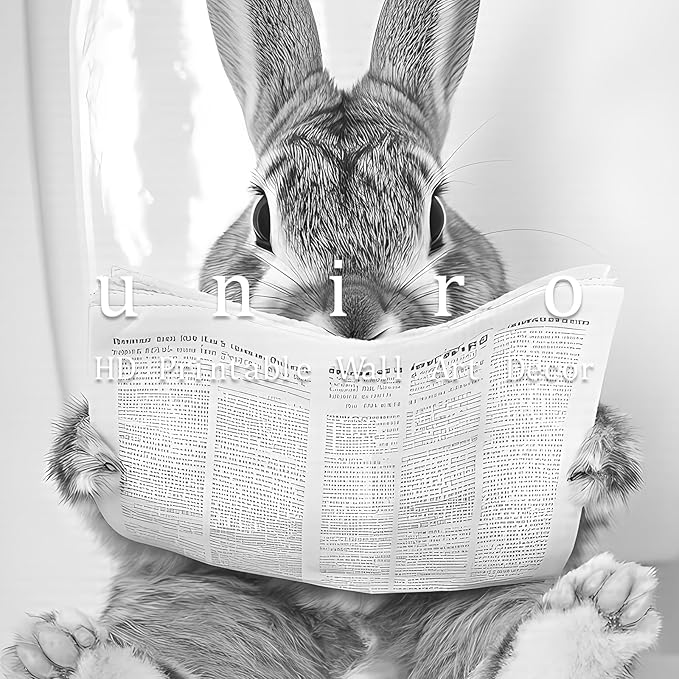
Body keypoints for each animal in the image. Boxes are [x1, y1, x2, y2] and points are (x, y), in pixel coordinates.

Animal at [1, 1, 661, 678]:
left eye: (437, 216)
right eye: (261, 218)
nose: (355, 318)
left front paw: (589, 456)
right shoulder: (162, 552)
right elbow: (125, 528)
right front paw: (93, 450)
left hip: (485, 593)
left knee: (514, 640)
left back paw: (601, 606)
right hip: (197, 602)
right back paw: (61, 650)